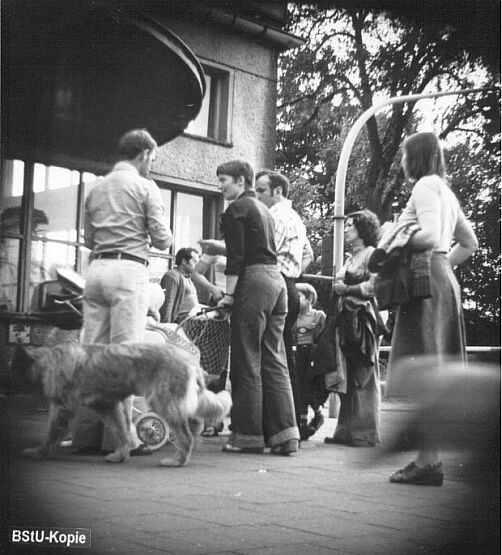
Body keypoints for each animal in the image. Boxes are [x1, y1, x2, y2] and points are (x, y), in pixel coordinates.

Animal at [14, 340, 231, 466]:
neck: (47, 361)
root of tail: (191, 360)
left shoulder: (62, 408)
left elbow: (51, 433)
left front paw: (38, 452)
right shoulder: (108, 406)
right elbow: (122, 432)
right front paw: (120, 455)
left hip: (163, 401)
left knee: (185, 435)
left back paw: (177, 460)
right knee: (194, 423)